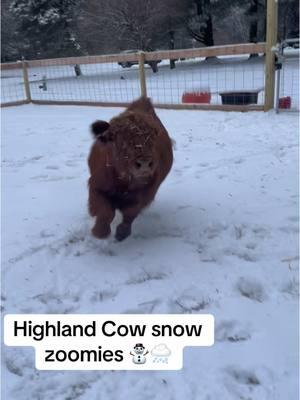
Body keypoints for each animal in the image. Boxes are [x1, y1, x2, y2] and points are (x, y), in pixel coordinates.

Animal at [88, 97, 172, 241]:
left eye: (152, 138)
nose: (144, 162)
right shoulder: (95, 187)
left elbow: (130, 213)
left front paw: (121, 233)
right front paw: (100, 232)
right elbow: (106, 211)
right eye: (119, 140)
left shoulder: (144, 195)